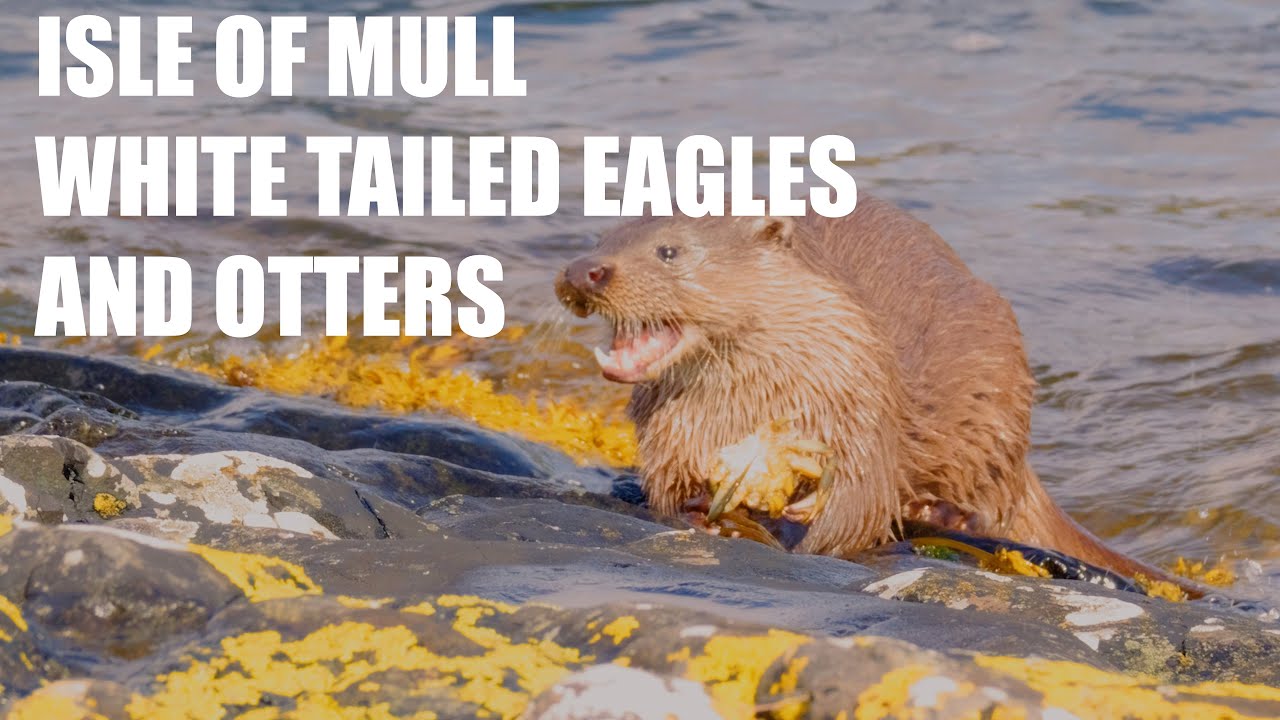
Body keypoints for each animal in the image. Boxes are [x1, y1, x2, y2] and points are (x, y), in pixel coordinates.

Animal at [555, 196, 1178, 587]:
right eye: (600, 238)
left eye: (669, 251)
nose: (584, 270)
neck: (755, 406)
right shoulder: (668, 437)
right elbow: (665, 491)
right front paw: (699, 507)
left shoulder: (865, 421)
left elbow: (854, 515)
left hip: (998, 404)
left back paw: (940, 511)